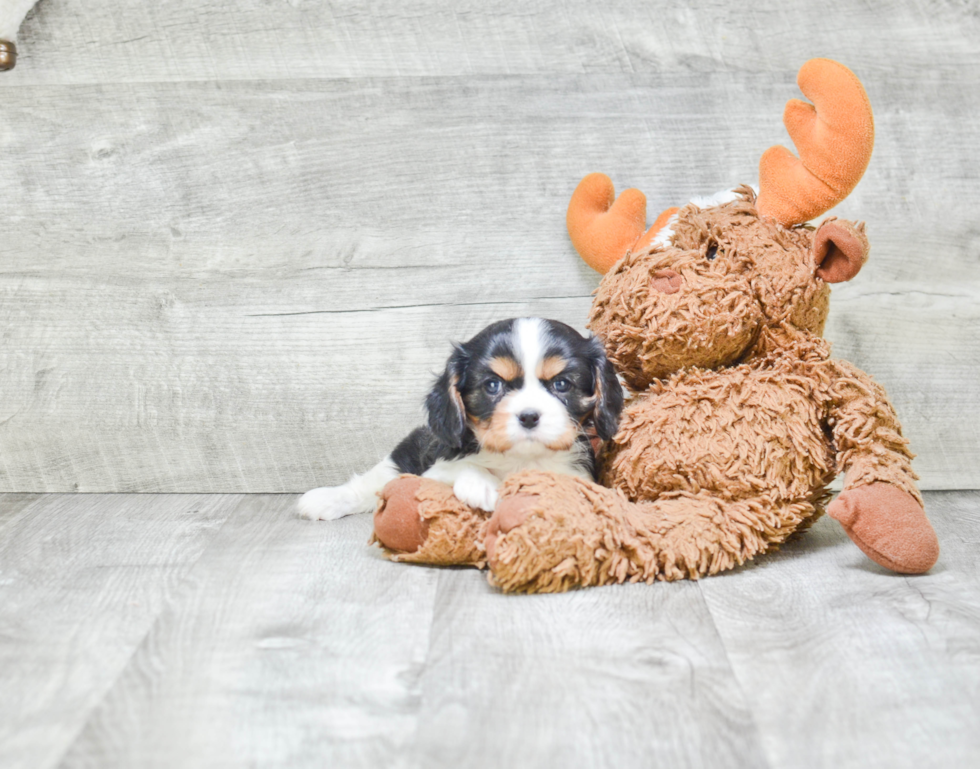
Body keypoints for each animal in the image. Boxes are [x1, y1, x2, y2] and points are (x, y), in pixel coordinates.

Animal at [294, 316, 624, 520]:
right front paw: (483, 485)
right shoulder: (433, 470)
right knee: (369, 485)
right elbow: (463, 467)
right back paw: (323, 500)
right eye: (492, 386)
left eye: (562, 384)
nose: (529, 417)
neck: (518, 459)